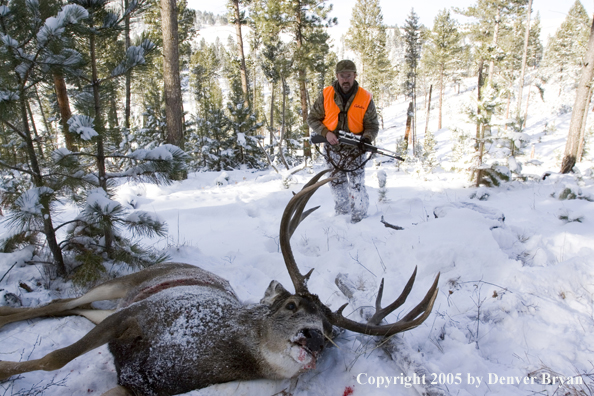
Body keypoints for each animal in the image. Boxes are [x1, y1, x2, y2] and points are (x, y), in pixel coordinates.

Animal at [0, 170, 438, 396]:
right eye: (292, 305)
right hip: (126, 283)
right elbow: (55, 358)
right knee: (59, 304)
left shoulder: (141, 385)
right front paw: (6, 371)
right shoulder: (136, 313)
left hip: (104, 306)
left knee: (74, 308)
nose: (313, 337)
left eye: (331, 334)